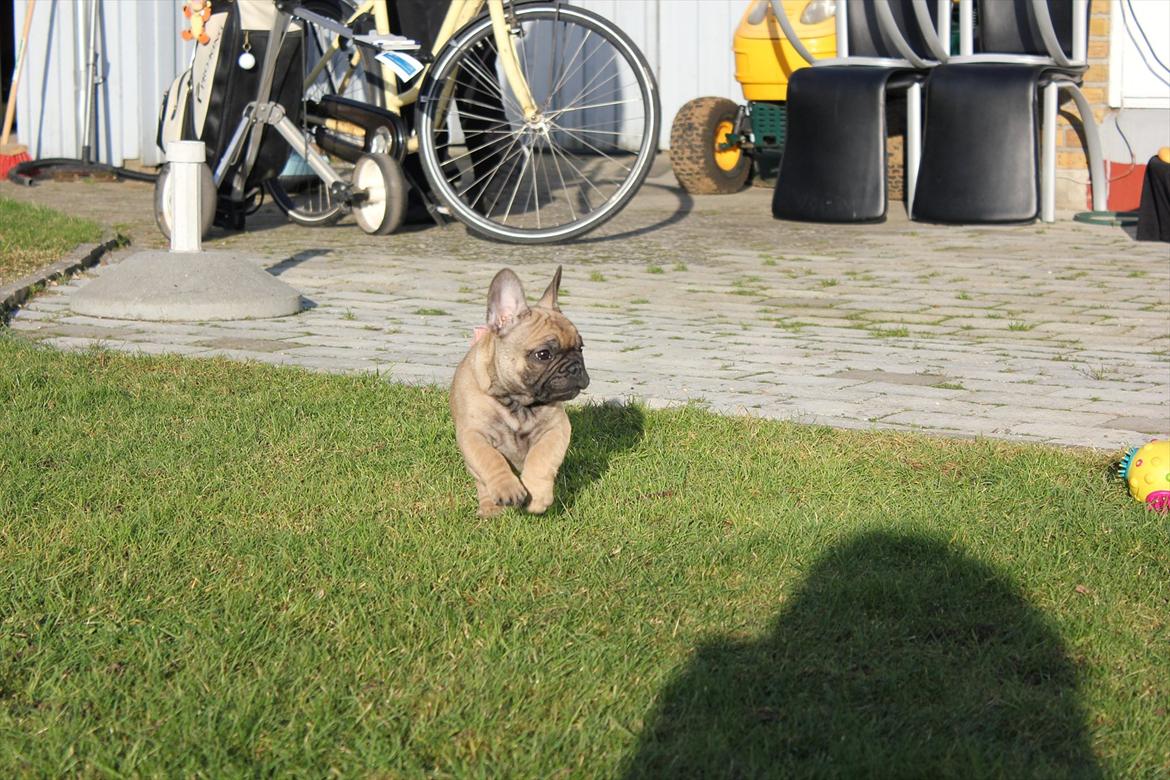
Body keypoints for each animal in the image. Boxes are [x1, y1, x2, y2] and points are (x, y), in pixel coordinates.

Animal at [451, 268, 589, 519]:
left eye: (580, 348)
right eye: (543, 354)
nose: (575, 367)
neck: (517, 402)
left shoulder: (556, 429)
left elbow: (541, 458)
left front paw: (537, 496)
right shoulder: (473, 435)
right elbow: (490, 459)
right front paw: (507, 488)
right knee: (481, 480)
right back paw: (490, 508)